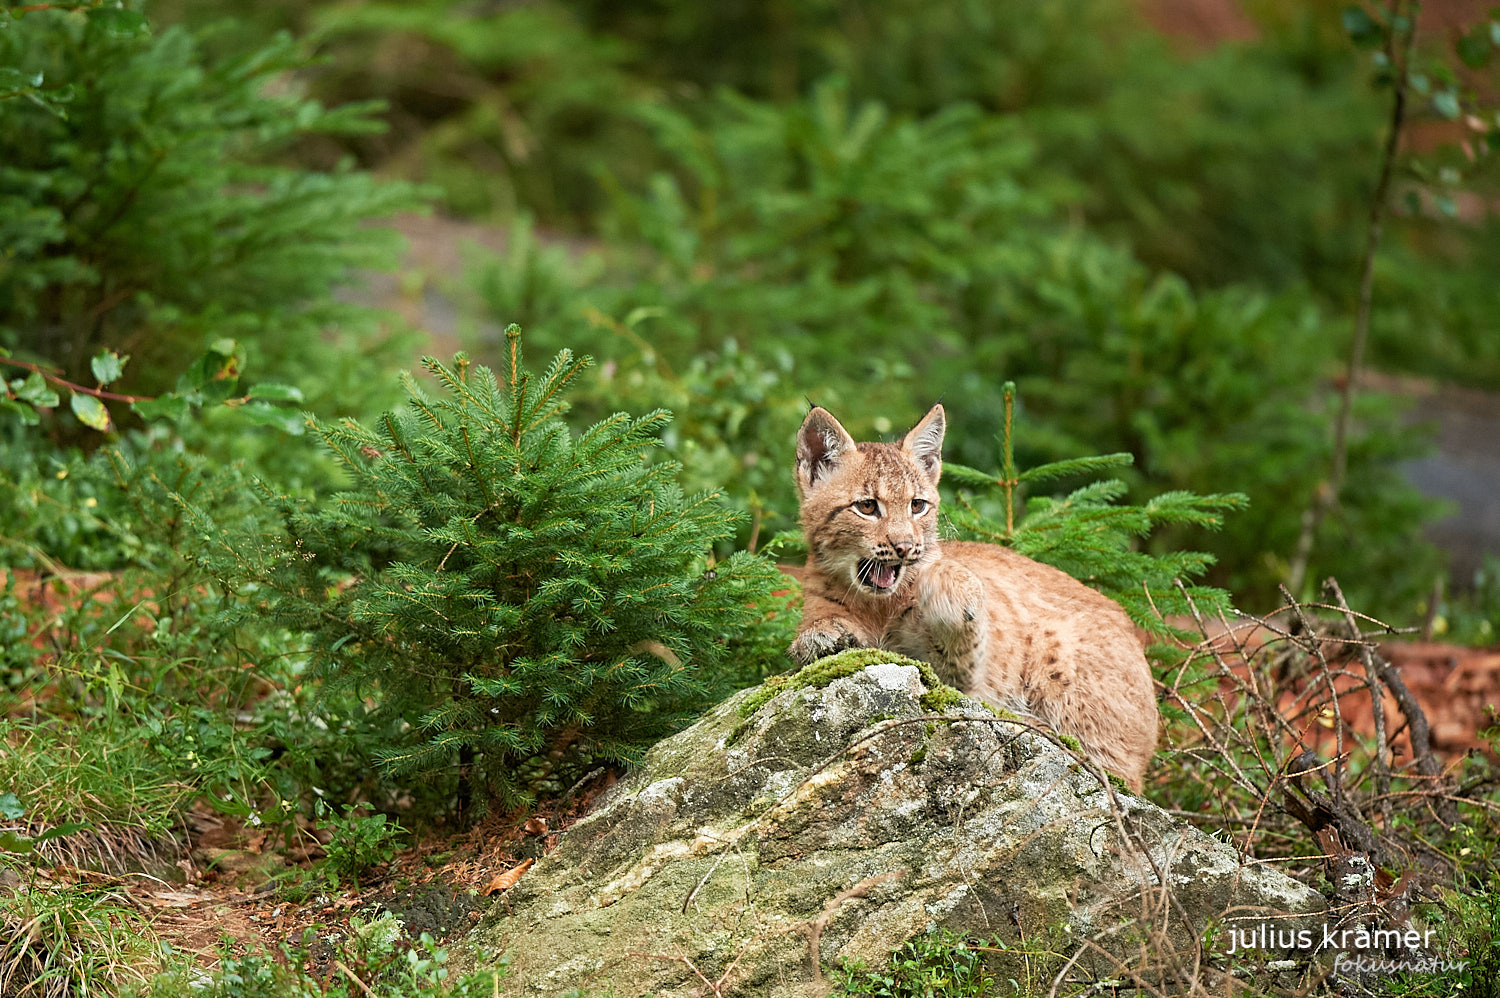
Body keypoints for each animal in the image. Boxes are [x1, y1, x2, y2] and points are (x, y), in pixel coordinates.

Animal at [786, 402, 1158, 786]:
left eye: (917, 506)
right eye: (867, 507)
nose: (905, 547)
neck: (876, 605)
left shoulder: (956, 682)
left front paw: (943, 581)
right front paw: (823, 635)